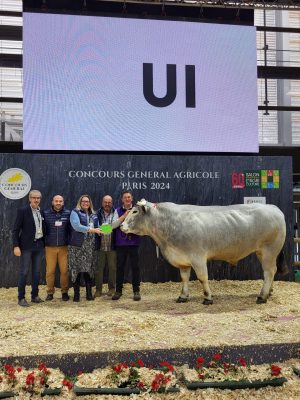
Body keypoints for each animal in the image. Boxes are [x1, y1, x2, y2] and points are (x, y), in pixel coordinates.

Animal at [120, 202, 288, 304]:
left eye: (134, 211)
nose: (121, 226)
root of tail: (274, 208)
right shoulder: (183, 260)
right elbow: (184, 278)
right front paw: (183, 296)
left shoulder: (198, 257)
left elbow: (202, 278)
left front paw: (208, 298)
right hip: (262, 252)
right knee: (270, 272)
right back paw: (269, 292)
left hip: (270, 250)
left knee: (269, 271)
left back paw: (262, 296)